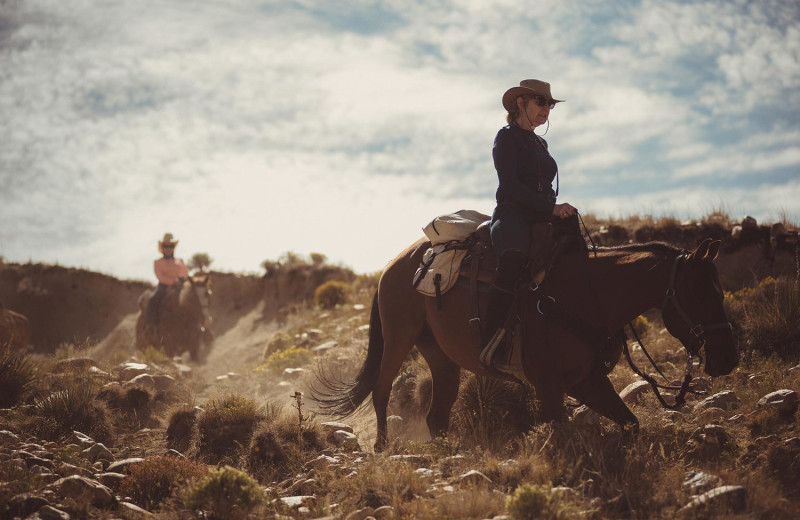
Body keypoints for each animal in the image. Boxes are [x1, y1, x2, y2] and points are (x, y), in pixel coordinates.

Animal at [316, 237, 740, 450]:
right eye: (704, 293)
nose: (728, 358)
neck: (586, 296)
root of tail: (395, 263)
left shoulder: (587, 382)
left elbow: (631, 424)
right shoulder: (550, 387)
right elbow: (565, 438)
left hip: (441, 357)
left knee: (438, 415)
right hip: (398, 338)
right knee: (381, 389)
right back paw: (381, 446)